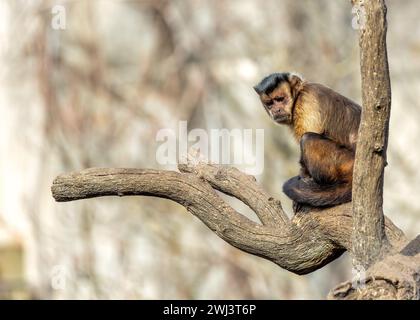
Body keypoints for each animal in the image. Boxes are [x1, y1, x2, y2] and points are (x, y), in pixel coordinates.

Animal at [253, 72, 360, 208]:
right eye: (270, 103)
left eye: (280, 99)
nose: (276, 110)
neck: (299, 94)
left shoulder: (306, 101)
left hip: (346, 163)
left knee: (307, 138)